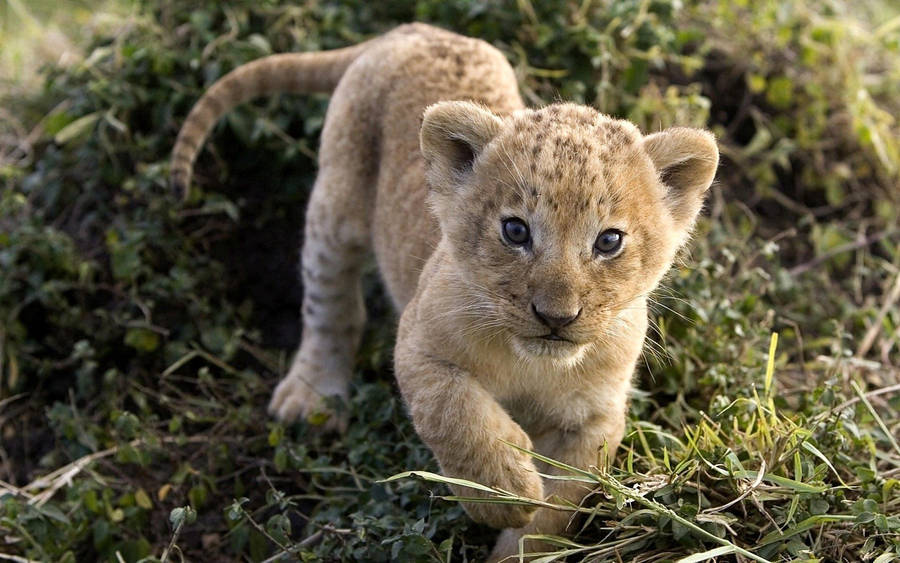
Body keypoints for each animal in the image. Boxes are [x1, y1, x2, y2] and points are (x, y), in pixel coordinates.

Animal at [171, 23, 718, 561]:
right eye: (515, 231)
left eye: (609, 241)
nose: (556, 317)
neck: (535, 365)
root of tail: (413, 30)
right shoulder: (419, 344)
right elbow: (456, 413)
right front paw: (504, 490)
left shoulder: (594, 418)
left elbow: (556, 511)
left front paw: (518, 541)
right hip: (336, 205)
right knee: (329, 304)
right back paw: (311, 396)